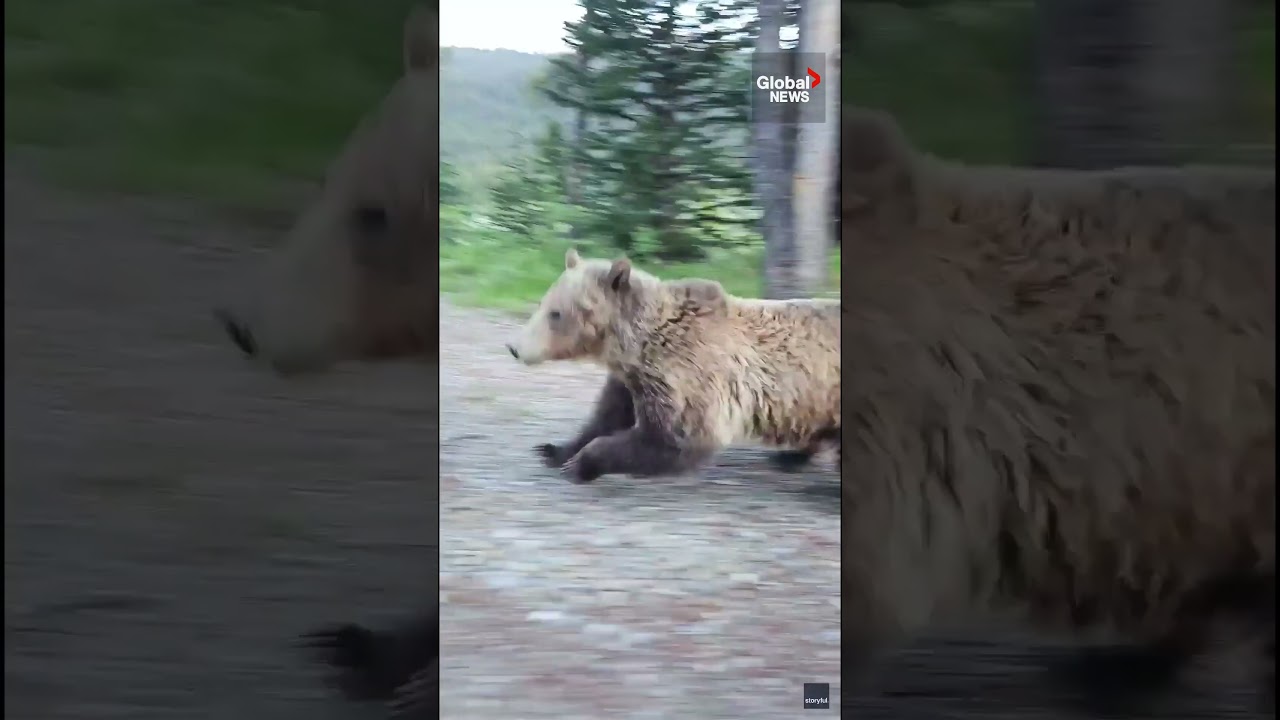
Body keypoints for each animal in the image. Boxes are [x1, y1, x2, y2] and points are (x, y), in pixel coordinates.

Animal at [505, 248, 841, 484]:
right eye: (544, 304)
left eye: (556, 313)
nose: (514, 348)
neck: (635, 344)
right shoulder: (632, 379)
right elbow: (606, 418)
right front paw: (553, 450)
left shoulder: (685, 372)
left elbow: (677, 437)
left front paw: (582, 464)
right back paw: (791, 457)